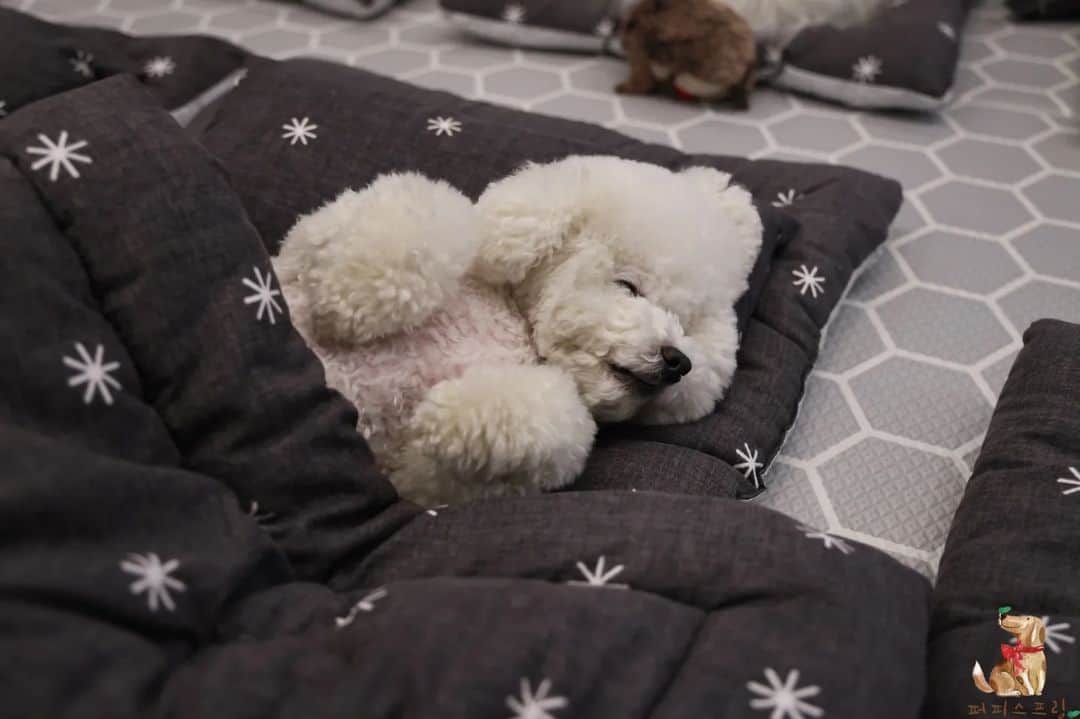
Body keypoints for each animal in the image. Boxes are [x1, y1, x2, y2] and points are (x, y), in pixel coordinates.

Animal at [274, 155, 764, 503]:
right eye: (628, 287)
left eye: (690, 329)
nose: (677, 360)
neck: (516, 323)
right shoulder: (299, 249)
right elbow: (435, 217)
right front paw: (346, 291)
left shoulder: (417, 479)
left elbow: (540, 421)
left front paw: (446, 417)